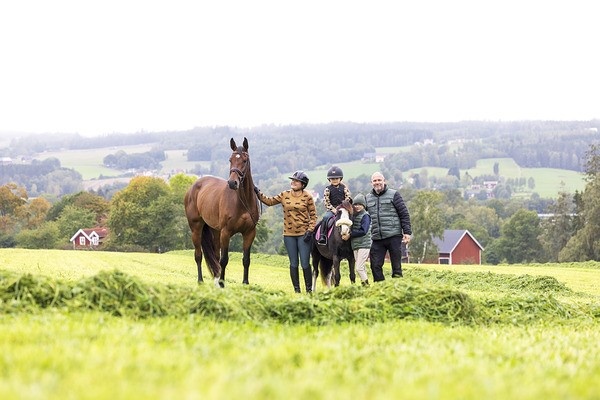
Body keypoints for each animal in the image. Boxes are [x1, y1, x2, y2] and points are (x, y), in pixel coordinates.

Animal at [183, 138, 258, 288]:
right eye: (230, 160)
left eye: (245, 160)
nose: (232, 183)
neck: (242, 202)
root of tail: (194, 186)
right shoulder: (226, 232)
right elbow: (224, 259)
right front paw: (223, 283)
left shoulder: (249, 233)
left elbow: (246, 259)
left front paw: (245, 283)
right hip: (196, 228)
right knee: (198, 255)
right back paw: (201, 280)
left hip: (215, 231)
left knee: (215, 257)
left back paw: (216, 280)